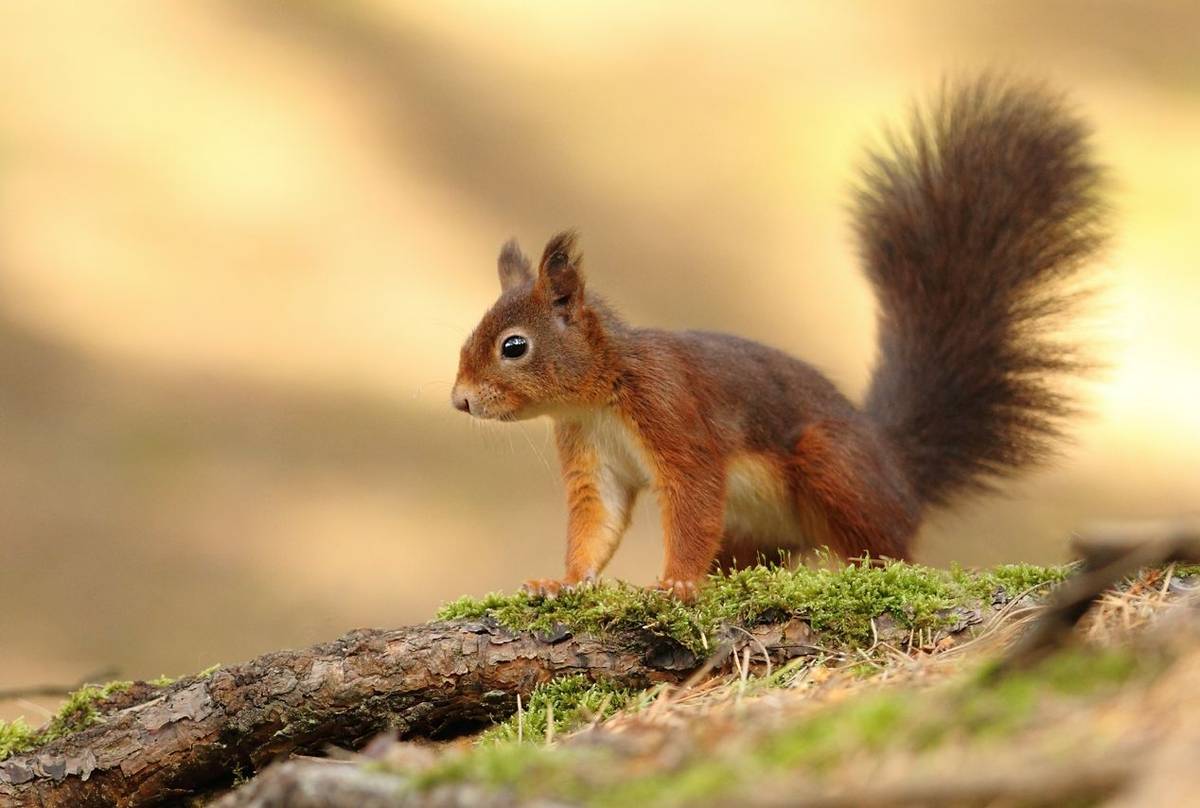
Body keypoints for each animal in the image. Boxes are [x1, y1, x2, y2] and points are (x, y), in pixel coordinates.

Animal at [451, 75, 1107, 600]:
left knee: (889, 549)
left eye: (513, 346)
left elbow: (693, 500)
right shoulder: (593, 457)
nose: (459, 401)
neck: (601, 391)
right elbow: (597, 524)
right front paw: (560, 582)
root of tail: (898, 467)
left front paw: (676, 583)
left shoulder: (674, 416)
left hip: (833, 465)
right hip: (751, 532)